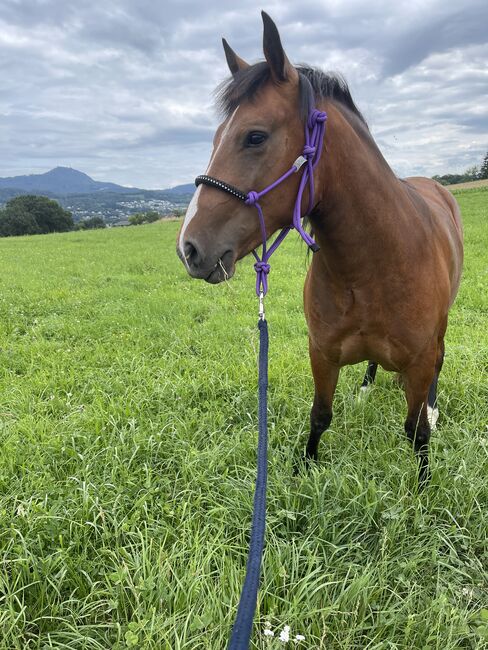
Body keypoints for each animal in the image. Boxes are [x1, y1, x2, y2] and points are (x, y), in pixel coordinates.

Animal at [177, 11, 464, 486]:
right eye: (217, 136)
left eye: (254, 137)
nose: (189, 248)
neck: (372, 267)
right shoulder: (322, 354)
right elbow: (320, 416)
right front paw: (303, 471)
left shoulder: (421, 359)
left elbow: (416, 431)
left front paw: (422, 488)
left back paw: (434, 407)